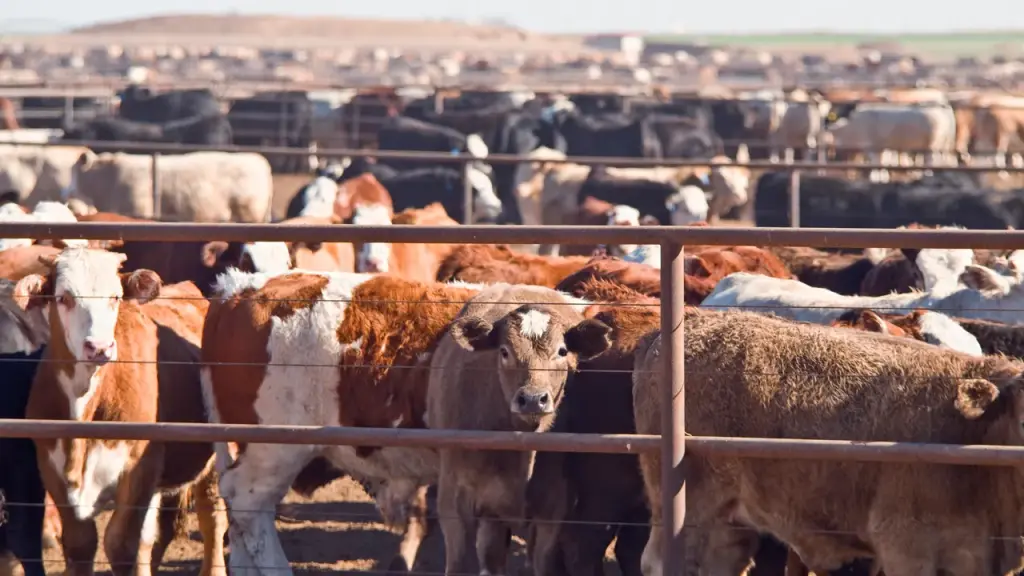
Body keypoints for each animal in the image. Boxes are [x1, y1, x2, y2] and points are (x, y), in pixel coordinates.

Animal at [15, 247, 227, 576]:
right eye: (63, 297)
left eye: (115, 297)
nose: (99, 347)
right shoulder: (51, 467)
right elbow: (81, 544)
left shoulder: (139, 466)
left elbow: (120, 545)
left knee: (213, 518)